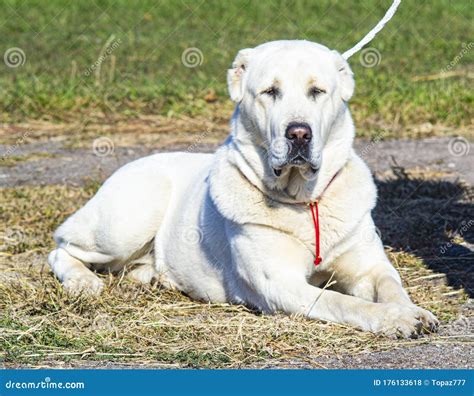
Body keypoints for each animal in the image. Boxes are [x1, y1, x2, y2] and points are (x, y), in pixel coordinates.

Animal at [48, 40, 436, 338]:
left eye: (317, 91)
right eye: (270, 92)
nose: (299, 133)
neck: (305, 200)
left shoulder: (369, 266)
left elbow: (391, 285)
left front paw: (413, 311)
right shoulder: (281, 284)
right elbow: (344, 302)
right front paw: (396, 318)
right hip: (128, 220)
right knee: (61, 248)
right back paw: (82, 282)